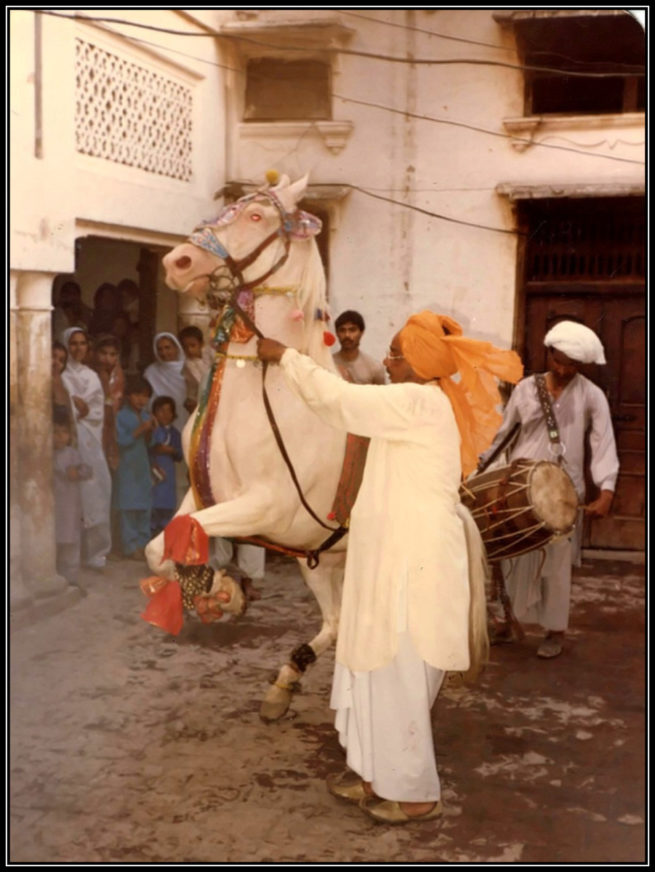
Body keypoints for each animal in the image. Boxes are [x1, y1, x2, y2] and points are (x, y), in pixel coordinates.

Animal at [146, 174, 352, 720]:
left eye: (256, 216)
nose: (177, 262)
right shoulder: (201, 493)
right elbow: (164, 544)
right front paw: (215, 591)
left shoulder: (265, 506)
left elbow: (190, 533)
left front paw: (222, 590)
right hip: (320, 559)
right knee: (337, 622)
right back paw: (285, 682)